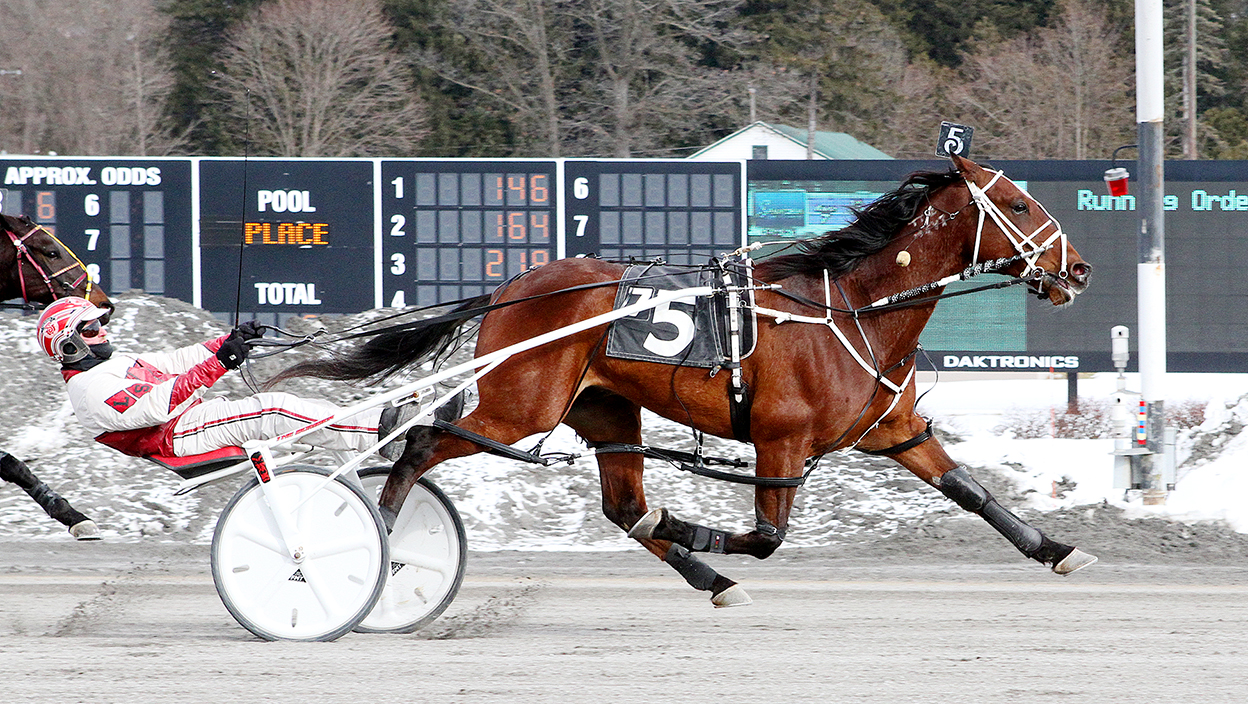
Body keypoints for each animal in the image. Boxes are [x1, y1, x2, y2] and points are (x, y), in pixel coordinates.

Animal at [280, 155, 1093, 604]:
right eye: (1017, 204)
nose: (1079, 269)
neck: (850, 307)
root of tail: (512, 286)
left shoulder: (891, 429)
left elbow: (972, 492)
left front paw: (1056, 549)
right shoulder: (780, 440)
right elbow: (765, 537)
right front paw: (690, 527)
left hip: (605, 411)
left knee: (620, 507)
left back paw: (707, 578)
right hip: (518, 406)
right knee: (418, 442)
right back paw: (374, 539)